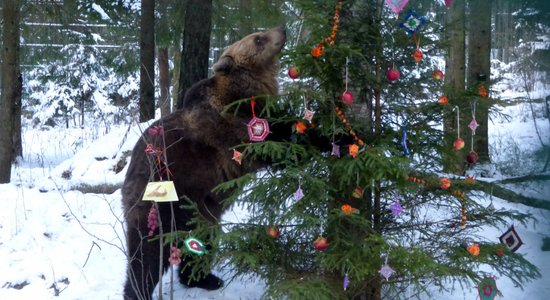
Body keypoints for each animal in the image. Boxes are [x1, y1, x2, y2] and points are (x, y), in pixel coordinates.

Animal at [123, 26, 288, 300]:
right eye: (258, 38)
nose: (282, 29)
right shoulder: (239, 126)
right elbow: (279, 142)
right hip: (162, 199)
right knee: (147, 253)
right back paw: (138, 290)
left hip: (201, 210)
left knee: (201, 242)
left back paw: (205, 278)